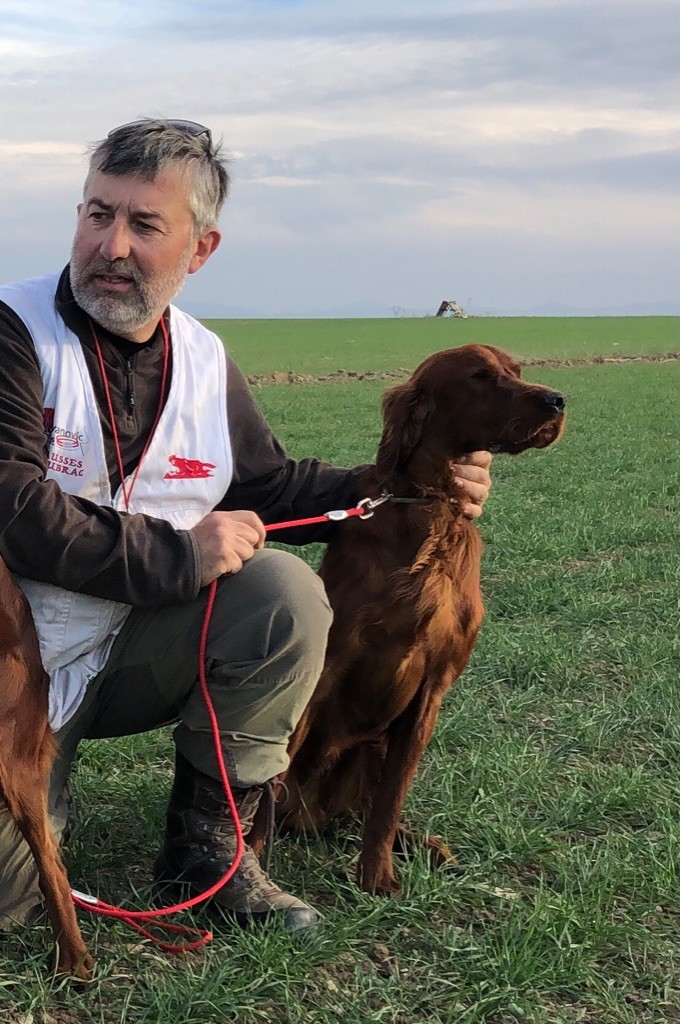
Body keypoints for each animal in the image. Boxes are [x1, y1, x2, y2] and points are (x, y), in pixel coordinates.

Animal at [268, 344, 565, 897]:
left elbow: (389, 805)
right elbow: (265, 791)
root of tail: (312, 817)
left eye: (516, 370)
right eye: (480, 376)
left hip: (375, 749)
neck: (430, 508)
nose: (557, 399)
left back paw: (425, 846)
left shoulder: (433, 688)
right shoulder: (328, 666)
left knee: (366, 811)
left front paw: (375, 877)